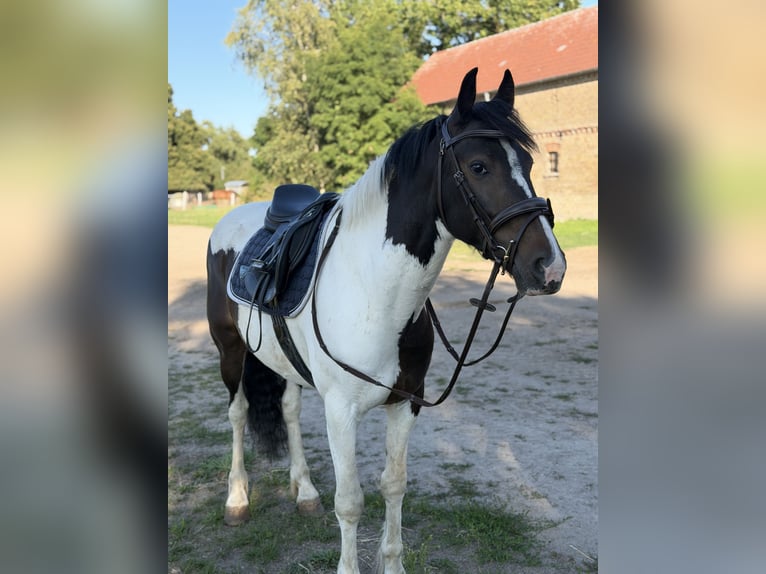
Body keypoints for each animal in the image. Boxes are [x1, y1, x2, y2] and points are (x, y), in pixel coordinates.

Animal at [206, 67, 566, 574]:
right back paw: (237, 499)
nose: (550, 267)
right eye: (479, 166)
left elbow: (393, 484)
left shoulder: (406, 402)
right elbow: (351, 501)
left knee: (290, 410)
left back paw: (304, 491)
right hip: (229, 350)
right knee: (237, 414)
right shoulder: (340, 411)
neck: (376, 291)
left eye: (532, 165)